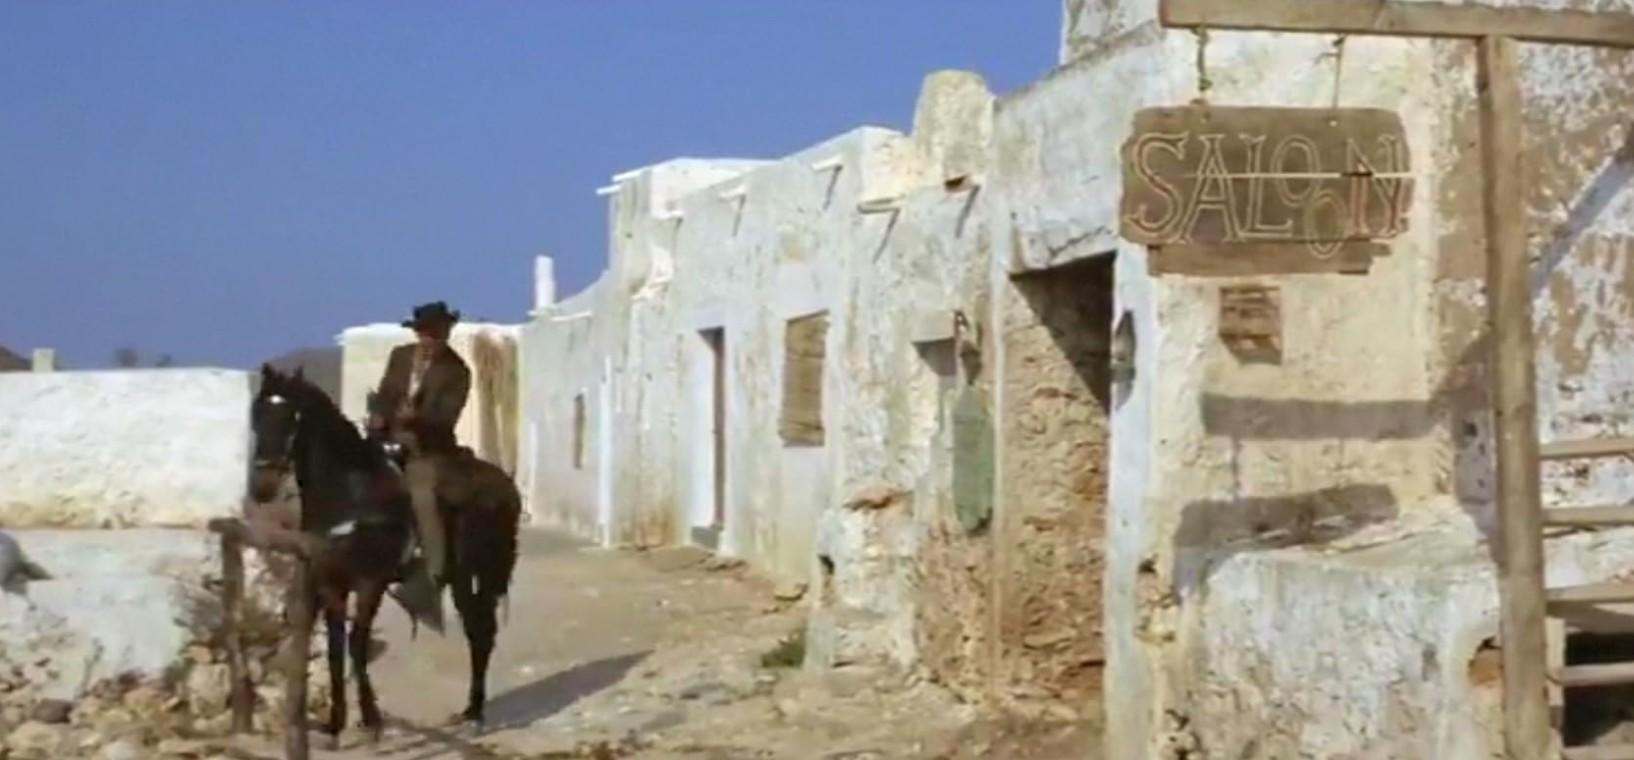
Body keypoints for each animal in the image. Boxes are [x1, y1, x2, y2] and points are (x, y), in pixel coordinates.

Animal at [248, 364, 414, 746]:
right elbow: (337, 647)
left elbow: (357, 643)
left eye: (292, 417)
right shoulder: (328, 582)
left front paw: (371, 717)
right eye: (256, 415)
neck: (349, 495)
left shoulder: (371, 582)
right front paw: (336, 719)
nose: (261, 487)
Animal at [363, 388, 522, 727]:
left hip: (467, 569)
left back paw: (473, 708)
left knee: (478, 626)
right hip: (488, 569)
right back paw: (473, 708)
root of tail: (502, 497)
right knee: (483, 627)